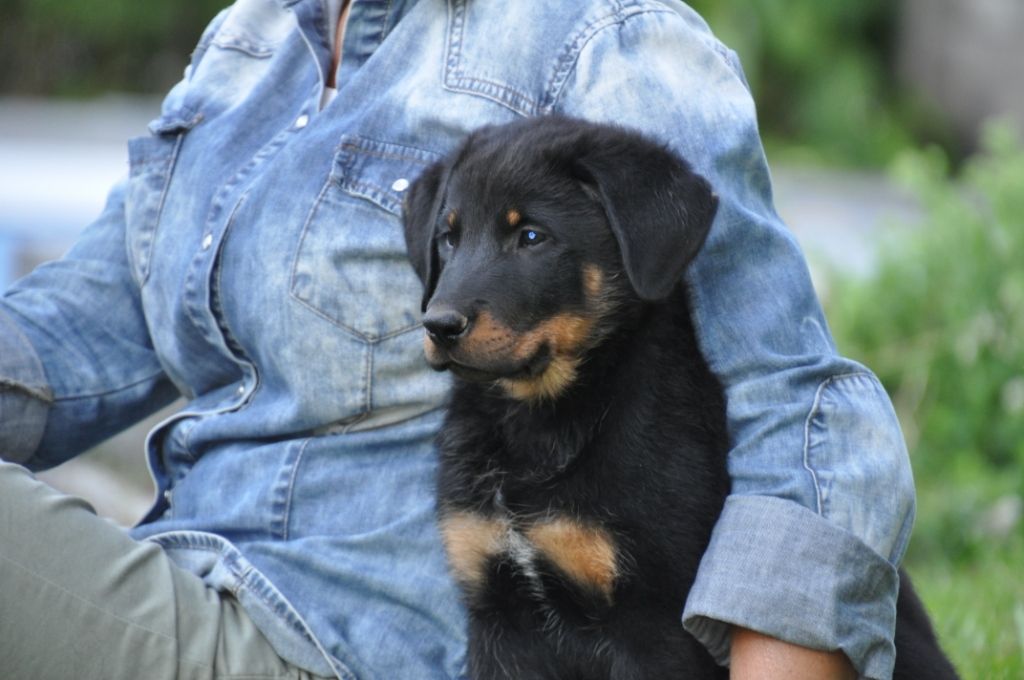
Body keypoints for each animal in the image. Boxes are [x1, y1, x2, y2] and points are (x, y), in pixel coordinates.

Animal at [401, 116, 958, 680]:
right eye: (449, 238)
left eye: (532, 236)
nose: (439, 325)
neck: (538, 419)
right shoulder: (496, 612)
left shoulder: (655, 623)